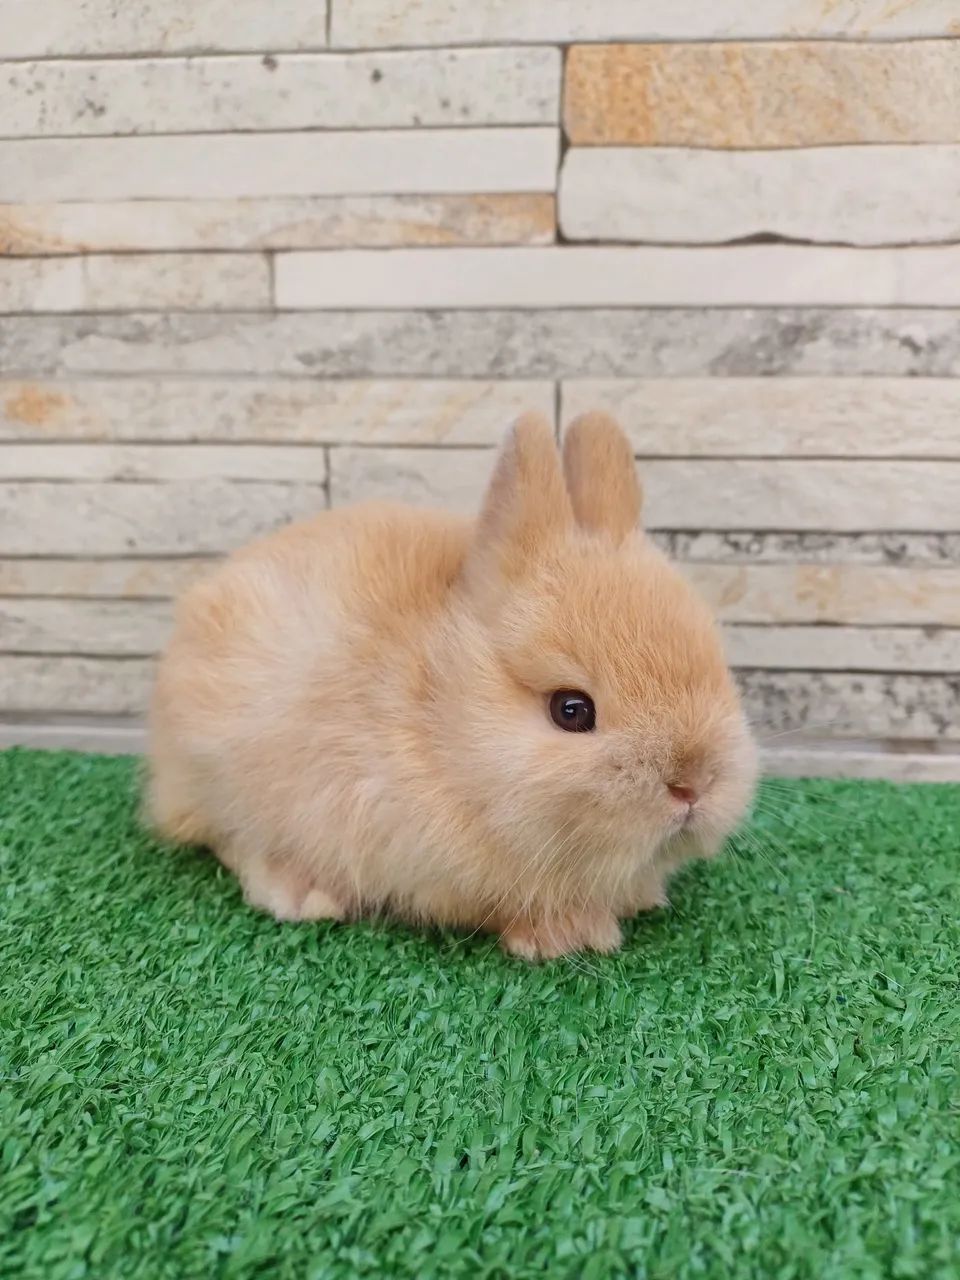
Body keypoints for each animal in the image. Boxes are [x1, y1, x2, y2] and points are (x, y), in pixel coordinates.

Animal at [147, 412, 757, 960]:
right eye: (572, 710)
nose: (693, 785)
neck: (438, 715)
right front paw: (566, 937)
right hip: (219, 772)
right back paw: (301, 893)